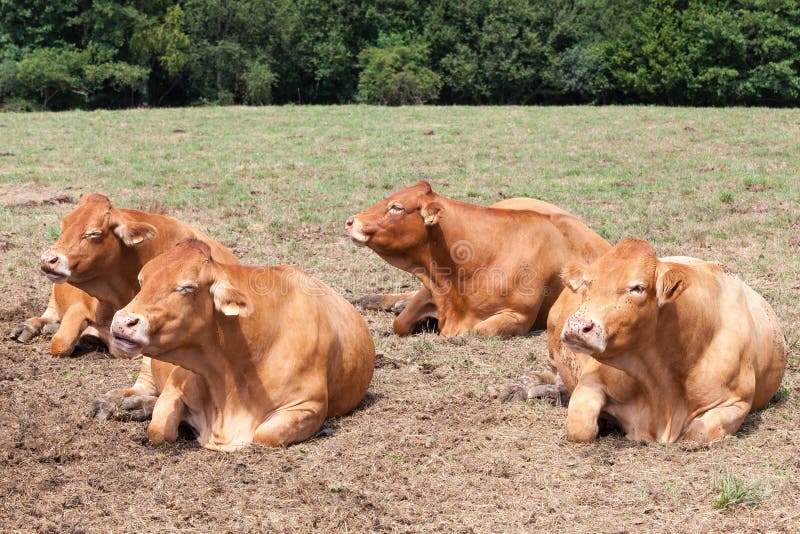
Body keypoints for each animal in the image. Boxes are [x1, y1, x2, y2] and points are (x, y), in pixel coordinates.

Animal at [107, 241, 378, 454]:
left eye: (187, 287)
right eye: (142, 280)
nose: (123, 321)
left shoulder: (309, 405)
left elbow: (264, 435)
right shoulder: (175, 387)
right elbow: (159, 430)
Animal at [342, 182, 608, 338]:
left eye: (396, 207)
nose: (351, 221)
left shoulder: (518, 316)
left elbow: (478, 329)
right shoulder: (431, 290)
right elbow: (401, 323)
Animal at [544, 239, 788, 444]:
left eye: (637, 288)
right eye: (587, 283)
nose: (577, 326)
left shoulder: (737, 402)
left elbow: (697, 432)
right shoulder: (591, 380)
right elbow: (580, 426)